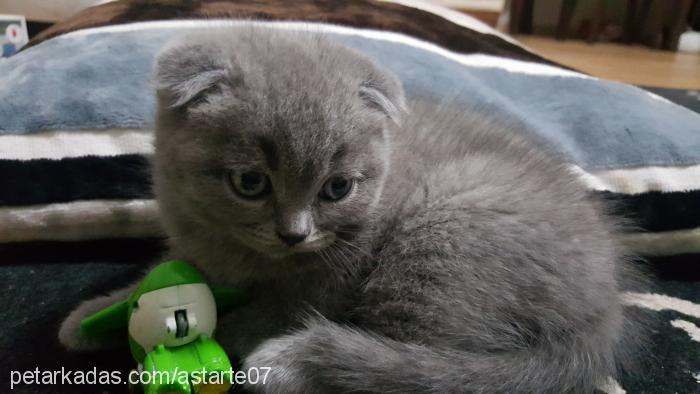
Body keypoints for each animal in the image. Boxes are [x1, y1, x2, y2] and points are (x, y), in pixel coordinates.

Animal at [57, 26, 644, 392]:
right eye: (250, 182)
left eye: (337, 188)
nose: (294, 233)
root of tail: (602, 313)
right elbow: (159, 278)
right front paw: (97, 314)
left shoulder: (330, 286)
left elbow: (264, 313)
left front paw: (217, 332)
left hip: (447, 231)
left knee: (418, 367)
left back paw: (297, 366)